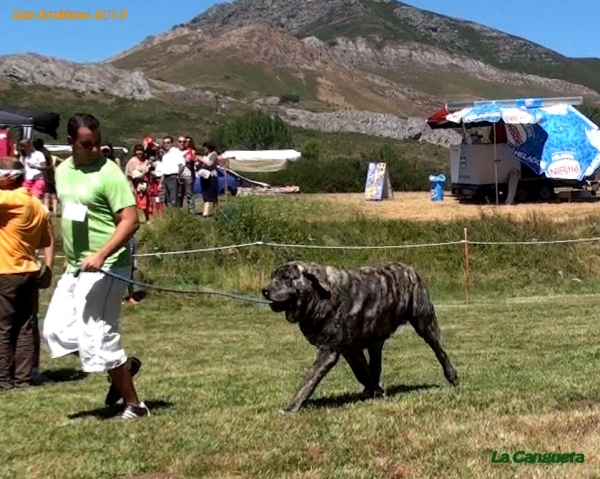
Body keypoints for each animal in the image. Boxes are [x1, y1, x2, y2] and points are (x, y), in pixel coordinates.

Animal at [262, 260, 460, 414]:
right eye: (273, 277)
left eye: (286, 278)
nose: (264, 290)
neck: (320, 299)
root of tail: (409, 268)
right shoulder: (351, 350)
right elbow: (363, 372)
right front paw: (376, 391)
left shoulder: (329, 351)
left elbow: (309, 380)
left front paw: (291, 407)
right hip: (375, 341)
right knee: (376, 365)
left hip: (425, 323)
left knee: (440, 352)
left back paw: (452, 376)